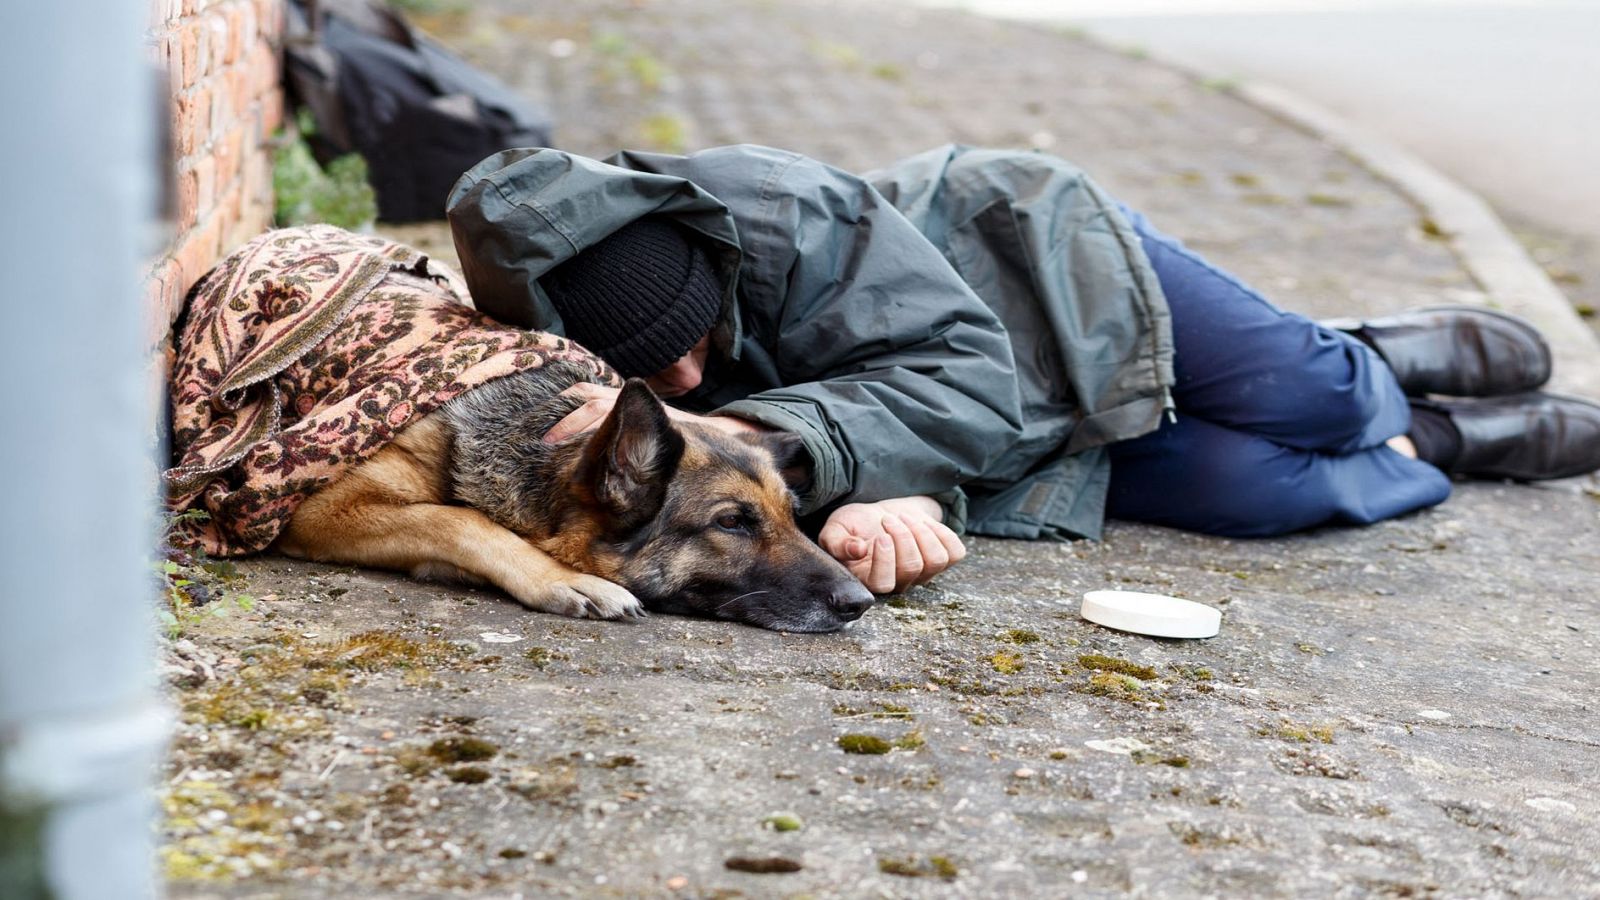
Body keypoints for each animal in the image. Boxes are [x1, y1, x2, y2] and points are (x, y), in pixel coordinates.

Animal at [275, 358, 876, 630]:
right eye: (731, 523)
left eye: (793, 517)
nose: (861, 602)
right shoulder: (320, 510)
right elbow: (456, 519)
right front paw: (561, 580)